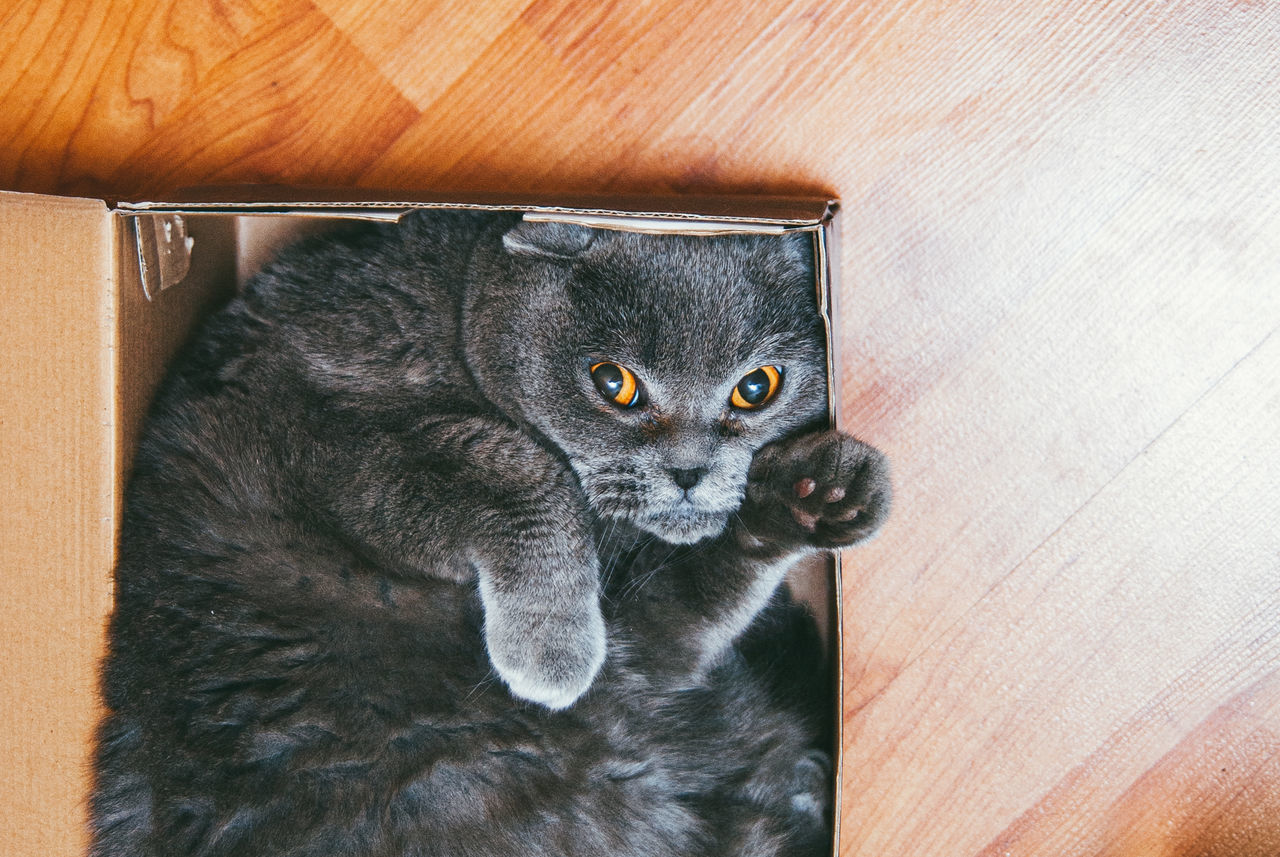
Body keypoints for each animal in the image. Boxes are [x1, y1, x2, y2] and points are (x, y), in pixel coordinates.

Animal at [90, 209, 890, 857]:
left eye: (756, 387)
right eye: (614, 383)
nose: (689, 471)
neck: (448, 309)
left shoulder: (649, 637)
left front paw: (817, 487)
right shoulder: (328, 434)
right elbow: (514, 462)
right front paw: (552, 650)